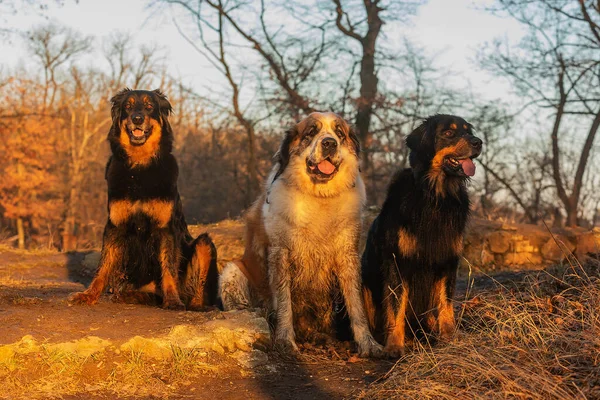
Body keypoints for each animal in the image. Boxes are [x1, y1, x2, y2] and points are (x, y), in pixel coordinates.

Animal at [71, 89, 218, 310]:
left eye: (149, 107)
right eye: (128, 106)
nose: (137, 119)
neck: (140, 167)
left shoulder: (166, 228)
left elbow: (168, 267)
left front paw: (172, 300)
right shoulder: (115, 225)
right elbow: (103, 265)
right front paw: (89, 294)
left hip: (203, 244)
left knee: (196, 294)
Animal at [218, 111, 382, 356]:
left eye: (339, 133)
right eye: (311, 132)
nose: (329, 143)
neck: (319, 198)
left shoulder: (348, 256)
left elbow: (356, 305)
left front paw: (368, 344)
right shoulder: (280, 253)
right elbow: (284, 302)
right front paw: (285, 340)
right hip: (233, 270)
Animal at [360, 112, 482, 356]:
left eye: (468, 131)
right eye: (449, 132)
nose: (479, 142)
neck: (435, 197)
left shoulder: (447, 261)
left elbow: (445, 303)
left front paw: (449, 337)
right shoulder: (397, 262)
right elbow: (396, 305)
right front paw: (394, 345)